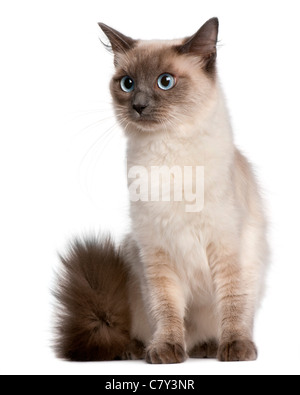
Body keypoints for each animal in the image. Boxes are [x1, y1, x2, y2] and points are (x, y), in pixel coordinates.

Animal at [54, 18, 270, 366]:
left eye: (165, 82)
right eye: (127, 84)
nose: (138, 106)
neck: (168, 154)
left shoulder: (227, 249)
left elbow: (233, 303)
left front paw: (235, 350)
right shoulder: (157, 255)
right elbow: (166, 310)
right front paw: (166, 351)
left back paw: (208, 348)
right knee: (142, 329)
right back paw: (138, 350)